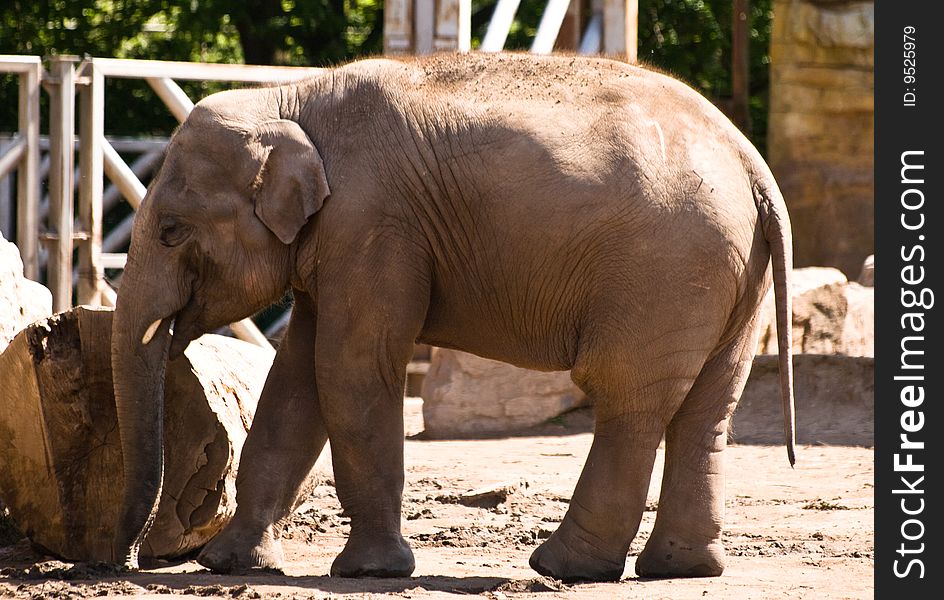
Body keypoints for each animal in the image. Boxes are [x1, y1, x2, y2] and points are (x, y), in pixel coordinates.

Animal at [112, 52, 796, 580]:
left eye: (171, 231)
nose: (134, 561)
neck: (289, 99)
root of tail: (752, 162)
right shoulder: (337, 243)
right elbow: (295, 382)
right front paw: (228, 564)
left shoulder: (372, 224)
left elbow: (349, 370)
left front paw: (369, 572)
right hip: (731, 277)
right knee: (707, 408)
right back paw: (681, 569)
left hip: (665, 270)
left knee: (627, 399)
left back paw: (563, 568)